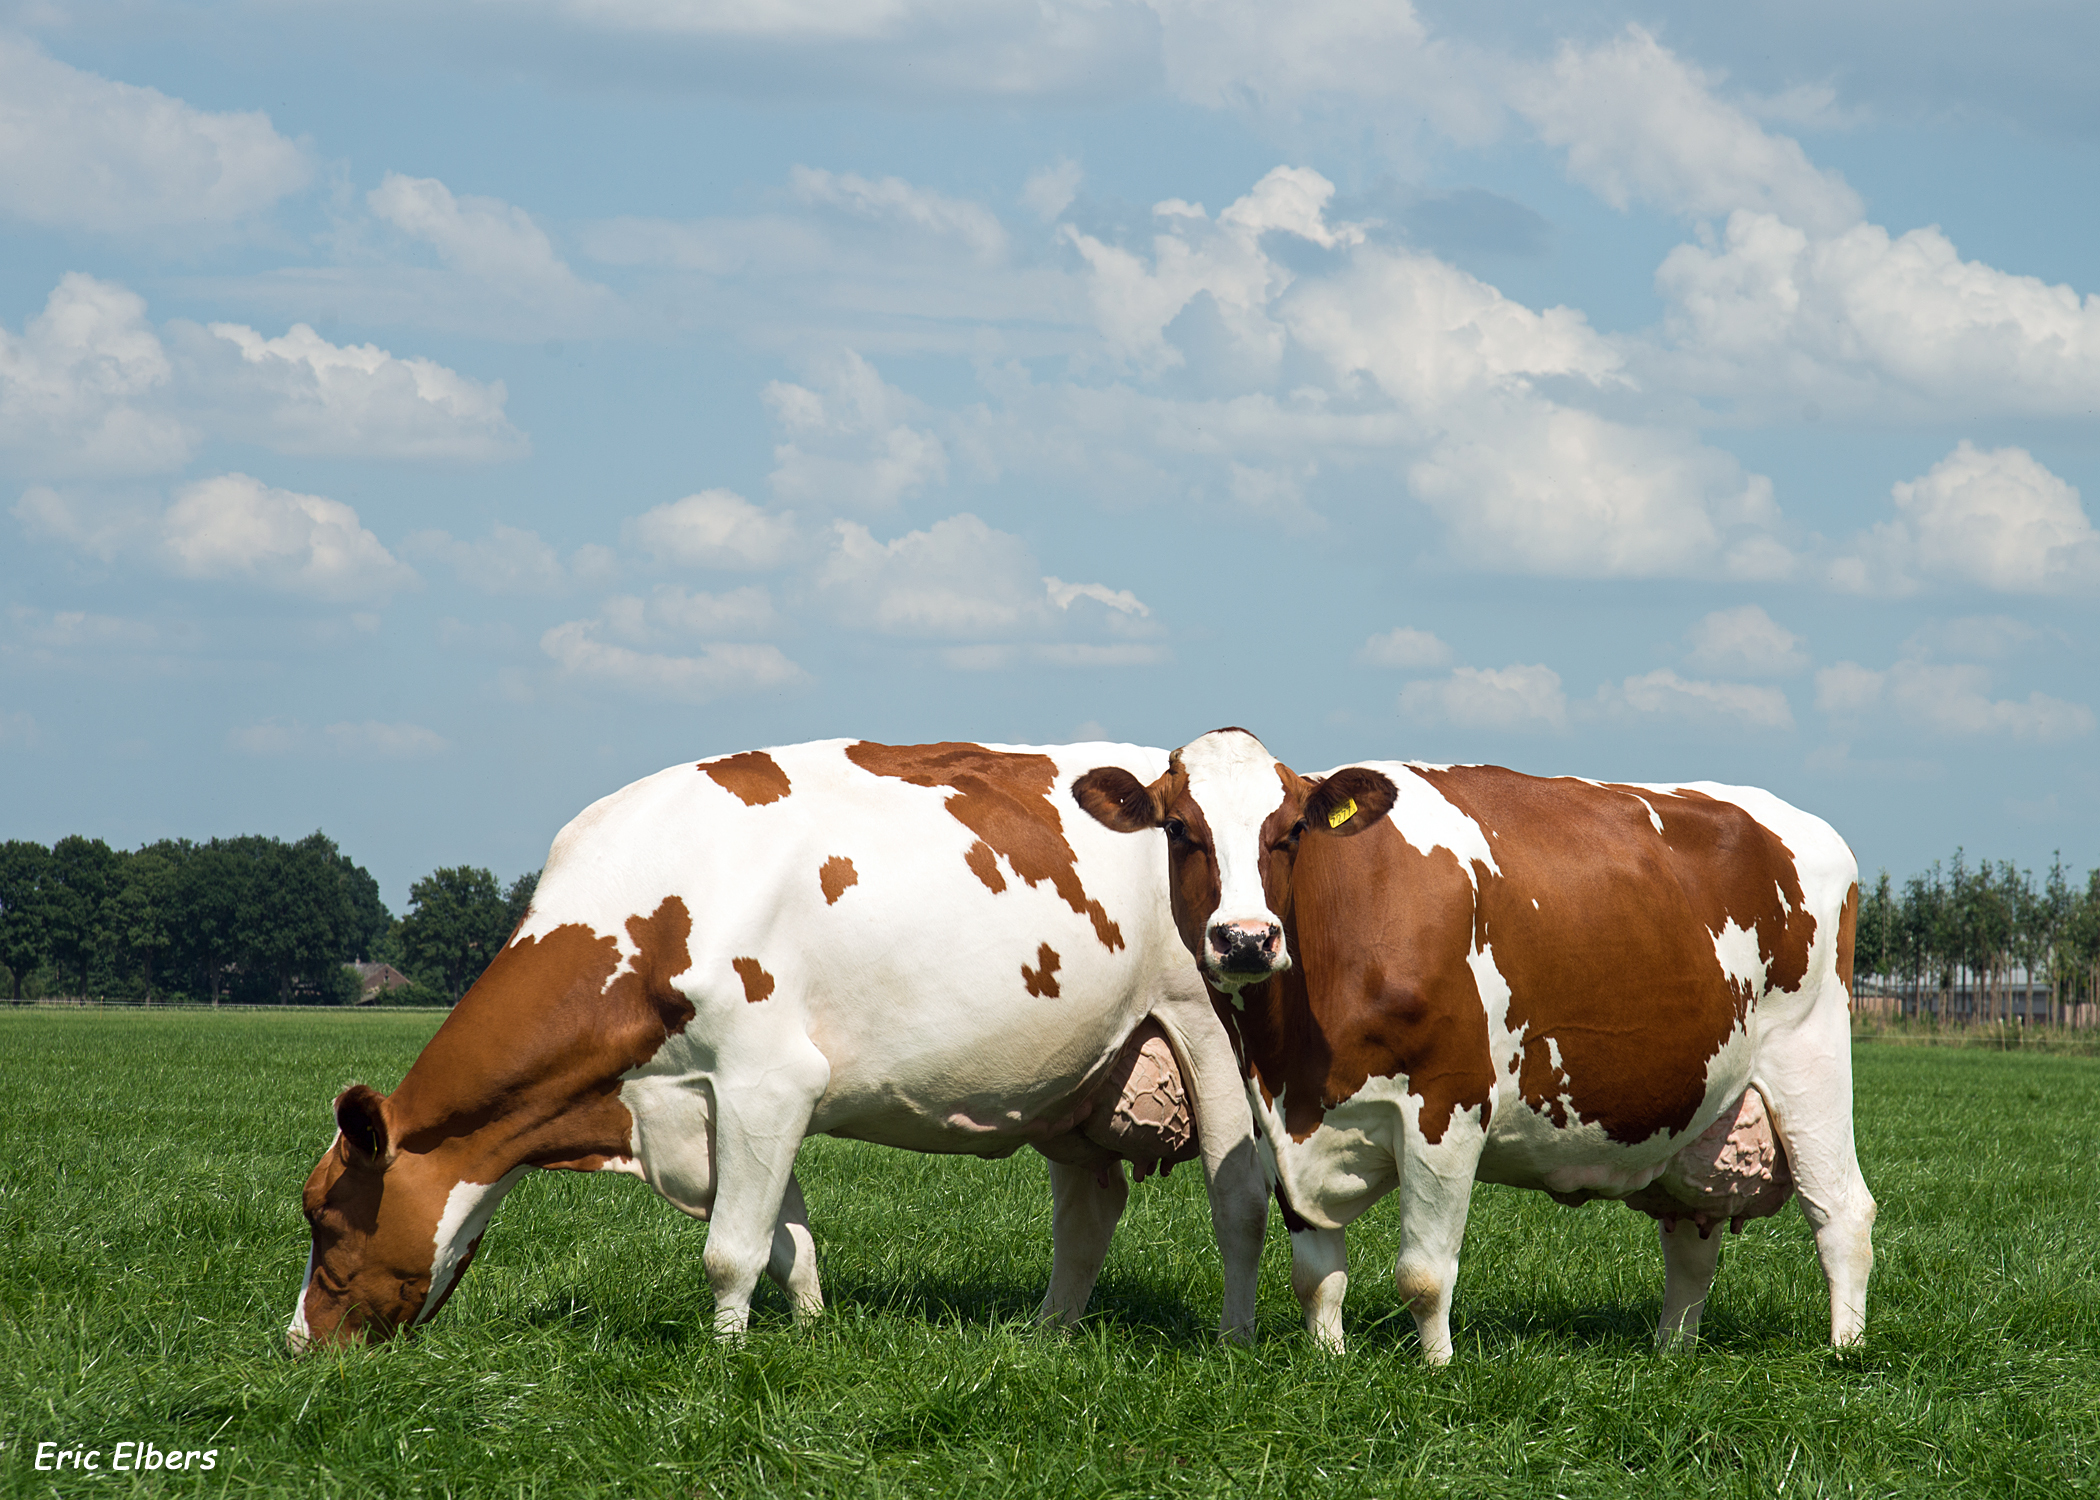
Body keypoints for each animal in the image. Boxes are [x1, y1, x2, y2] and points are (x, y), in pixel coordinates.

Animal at [291, 735, 1260, 1344]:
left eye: (322, 1215)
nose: (302, 1344)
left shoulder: (768, 1080)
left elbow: (732, 1250)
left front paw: (723, 1360)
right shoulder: (725, 1104)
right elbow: (790, 1242)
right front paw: (809, 1334)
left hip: (1208, 1033)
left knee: (1236, 1200)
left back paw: (1234, 1339)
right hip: (1081, 1076)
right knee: (1090, 1210)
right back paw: (1048, 1334)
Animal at [1075, 722, 1881, 1352]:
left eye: (1293, 831)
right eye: (1180, 829)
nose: (1245, 939)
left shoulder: (1449, 1102)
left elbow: (1424, 1275)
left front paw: (1436, 1371)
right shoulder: (1281, 1119)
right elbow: (1315, 1275)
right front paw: (1328, 1361)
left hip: (1811, 1057)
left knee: (1842, 1211)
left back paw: (1842, 1355)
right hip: (1698, 1102)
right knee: (1691, 1239)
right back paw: (1670, 1355)